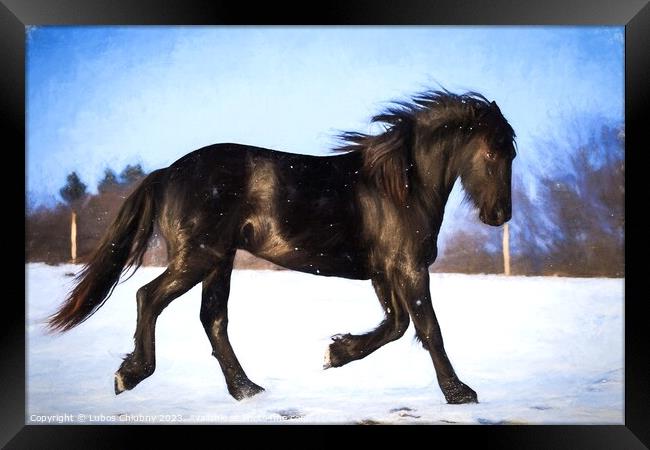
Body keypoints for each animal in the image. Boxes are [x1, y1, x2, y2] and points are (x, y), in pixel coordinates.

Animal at [48, 89, 516, 404]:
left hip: (219, 260)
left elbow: (397, 325)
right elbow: (428, 328)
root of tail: (166, 173)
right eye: (494, 153)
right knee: (150, 297)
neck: (400, 186)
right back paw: (130, 375)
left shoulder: (386, 271)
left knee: (213, 319)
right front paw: (460, 392)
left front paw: (335, 352)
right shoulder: (408, 267)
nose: (500, 215)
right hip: (198, 257)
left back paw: (246, 389)